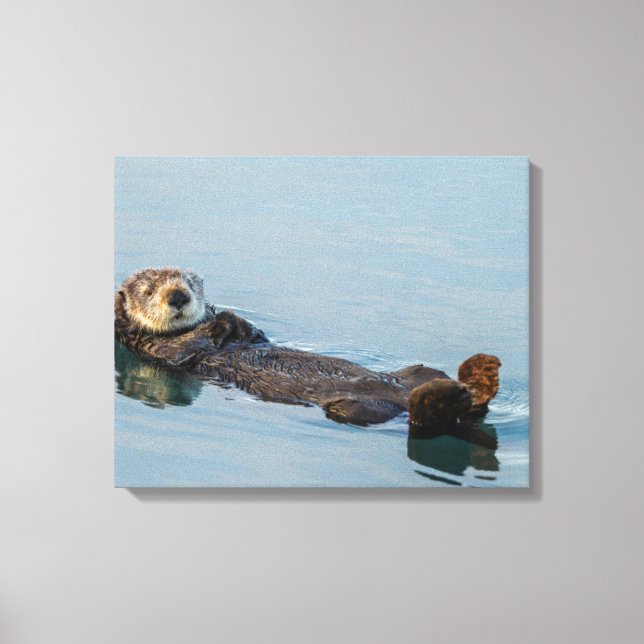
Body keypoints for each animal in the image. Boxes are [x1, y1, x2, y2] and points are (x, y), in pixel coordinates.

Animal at [115, 267, 501, 436]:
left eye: (189, 283)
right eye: (149, 290)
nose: (178, 296)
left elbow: (251, 333)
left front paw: (226, 316)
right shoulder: (160, 349)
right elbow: (190, 346)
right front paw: (219, 321)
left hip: (417, 372)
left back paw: (481, 376)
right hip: (354, 410)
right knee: (426, 421)